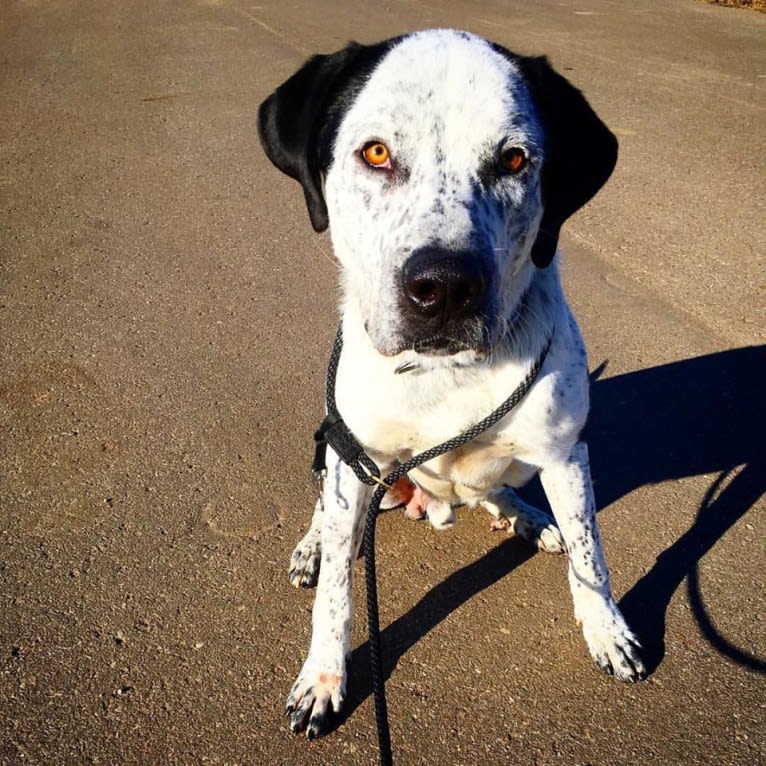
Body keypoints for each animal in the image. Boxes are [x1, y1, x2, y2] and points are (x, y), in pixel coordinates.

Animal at [260, 28, 648, 736]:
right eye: (376, 152)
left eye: (515, 160)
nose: (443, 287)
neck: (447, 373)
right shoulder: (354, 453)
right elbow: (335, 594)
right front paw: (323, 678)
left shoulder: (567, 452)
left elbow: (592, 557)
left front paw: (609, 633)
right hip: (333, 442)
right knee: (327, 509)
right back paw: (314, 545)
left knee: (500, 492)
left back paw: (526, 517)